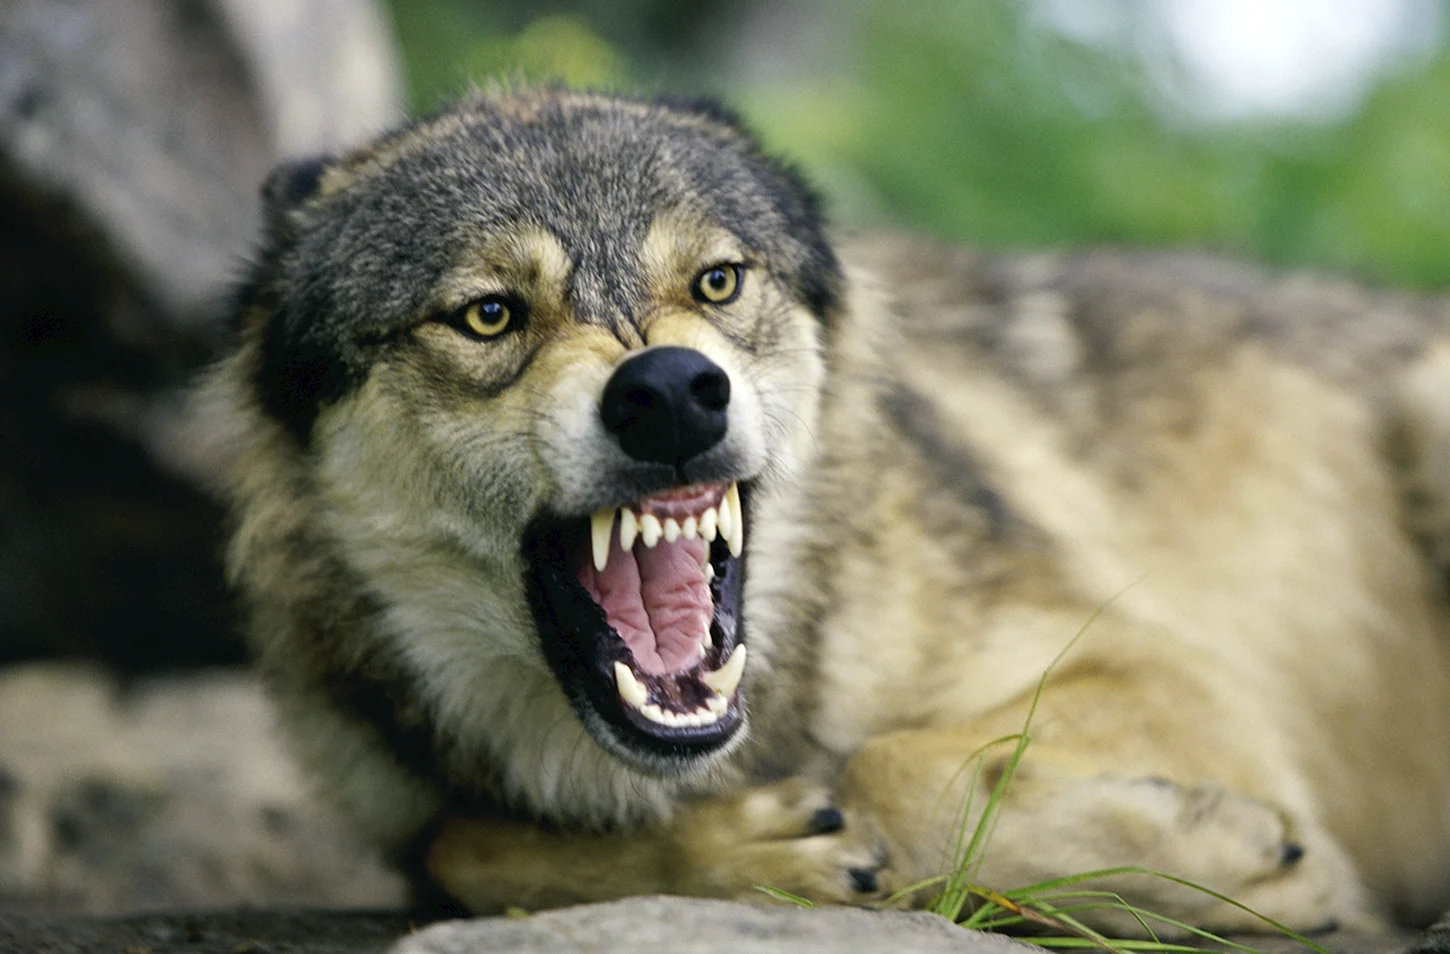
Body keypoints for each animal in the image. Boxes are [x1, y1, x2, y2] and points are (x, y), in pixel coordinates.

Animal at [194, 86, 1450, 934]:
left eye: (715, 282)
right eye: (490, 314)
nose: (669, 391)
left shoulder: (1169, 674)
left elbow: (885, 764)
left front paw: (1231, 871)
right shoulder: (412, 817)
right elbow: (468, 848)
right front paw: (757, 854)